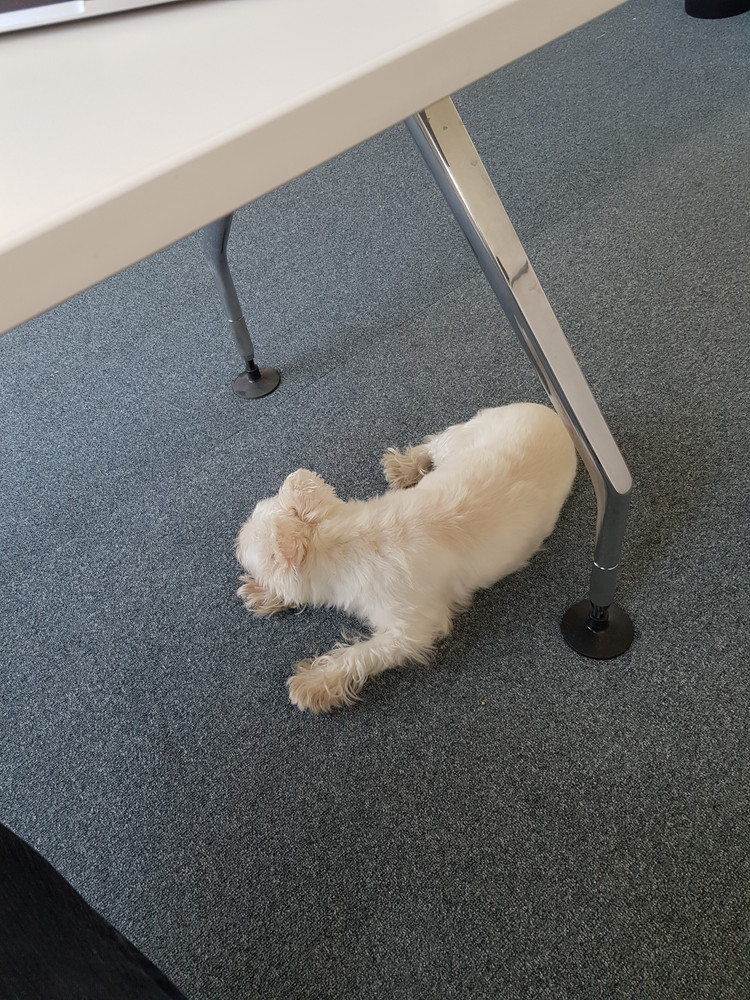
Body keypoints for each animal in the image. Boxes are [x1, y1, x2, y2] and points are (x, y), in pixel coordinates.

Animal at [235, 403, 577, 713]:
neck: (346, 542)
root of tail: (554, 415)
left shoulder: (413, 629)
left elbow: (360, 654)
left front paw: (315, 683)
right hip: (464, 437)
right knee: (431, 445)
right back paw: (404, 467)